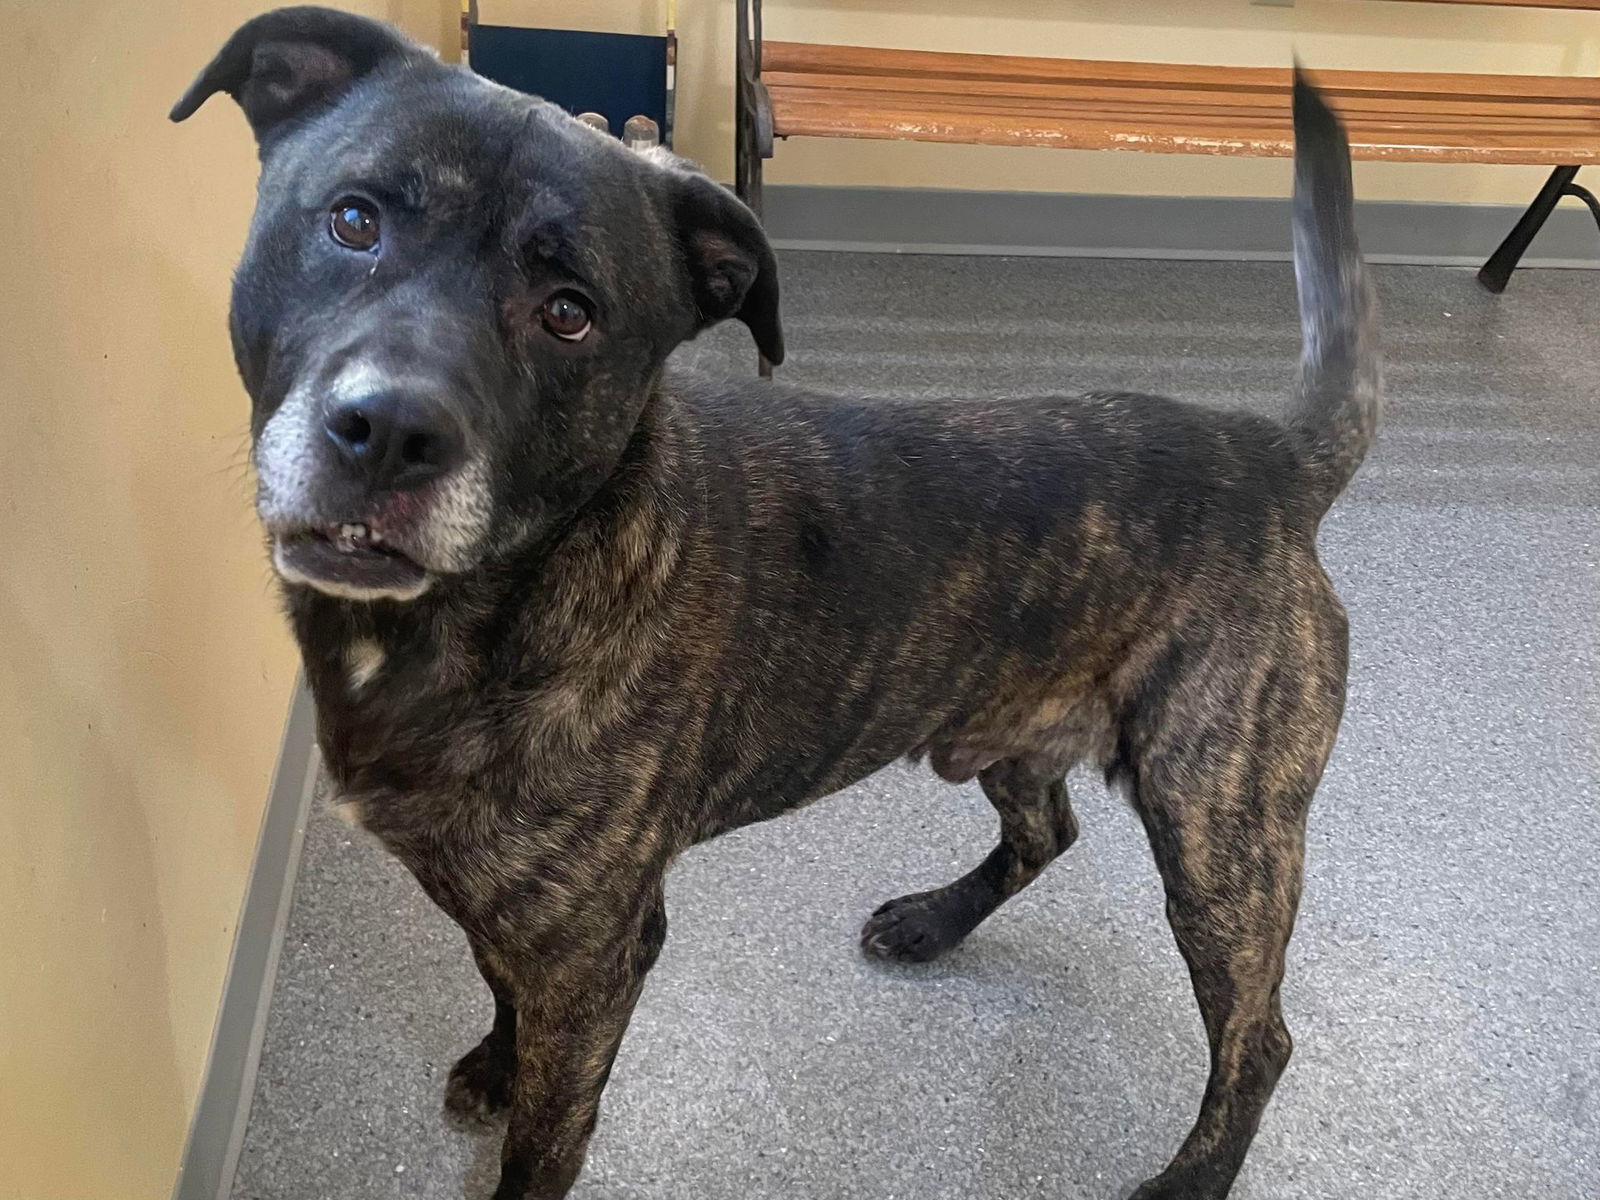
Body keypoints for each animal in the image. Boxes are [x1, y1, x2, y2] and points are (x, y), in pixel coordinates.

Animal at [172, 11, 1376, 1200]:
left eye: (570, 315)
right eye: (353, 221)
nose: (389, 432)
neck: (501, 596)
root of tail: (1273, 454)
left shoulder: (596, 956)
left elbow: (545, 1141)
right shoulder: (506, 911)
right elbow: (496, 981)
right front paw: (496, 1062)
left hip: (1218, 838)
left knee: (1259, 1039)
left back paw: (1191, 1176)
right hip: (1013, 723)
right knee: (1050, 829)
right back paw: (935, 921)